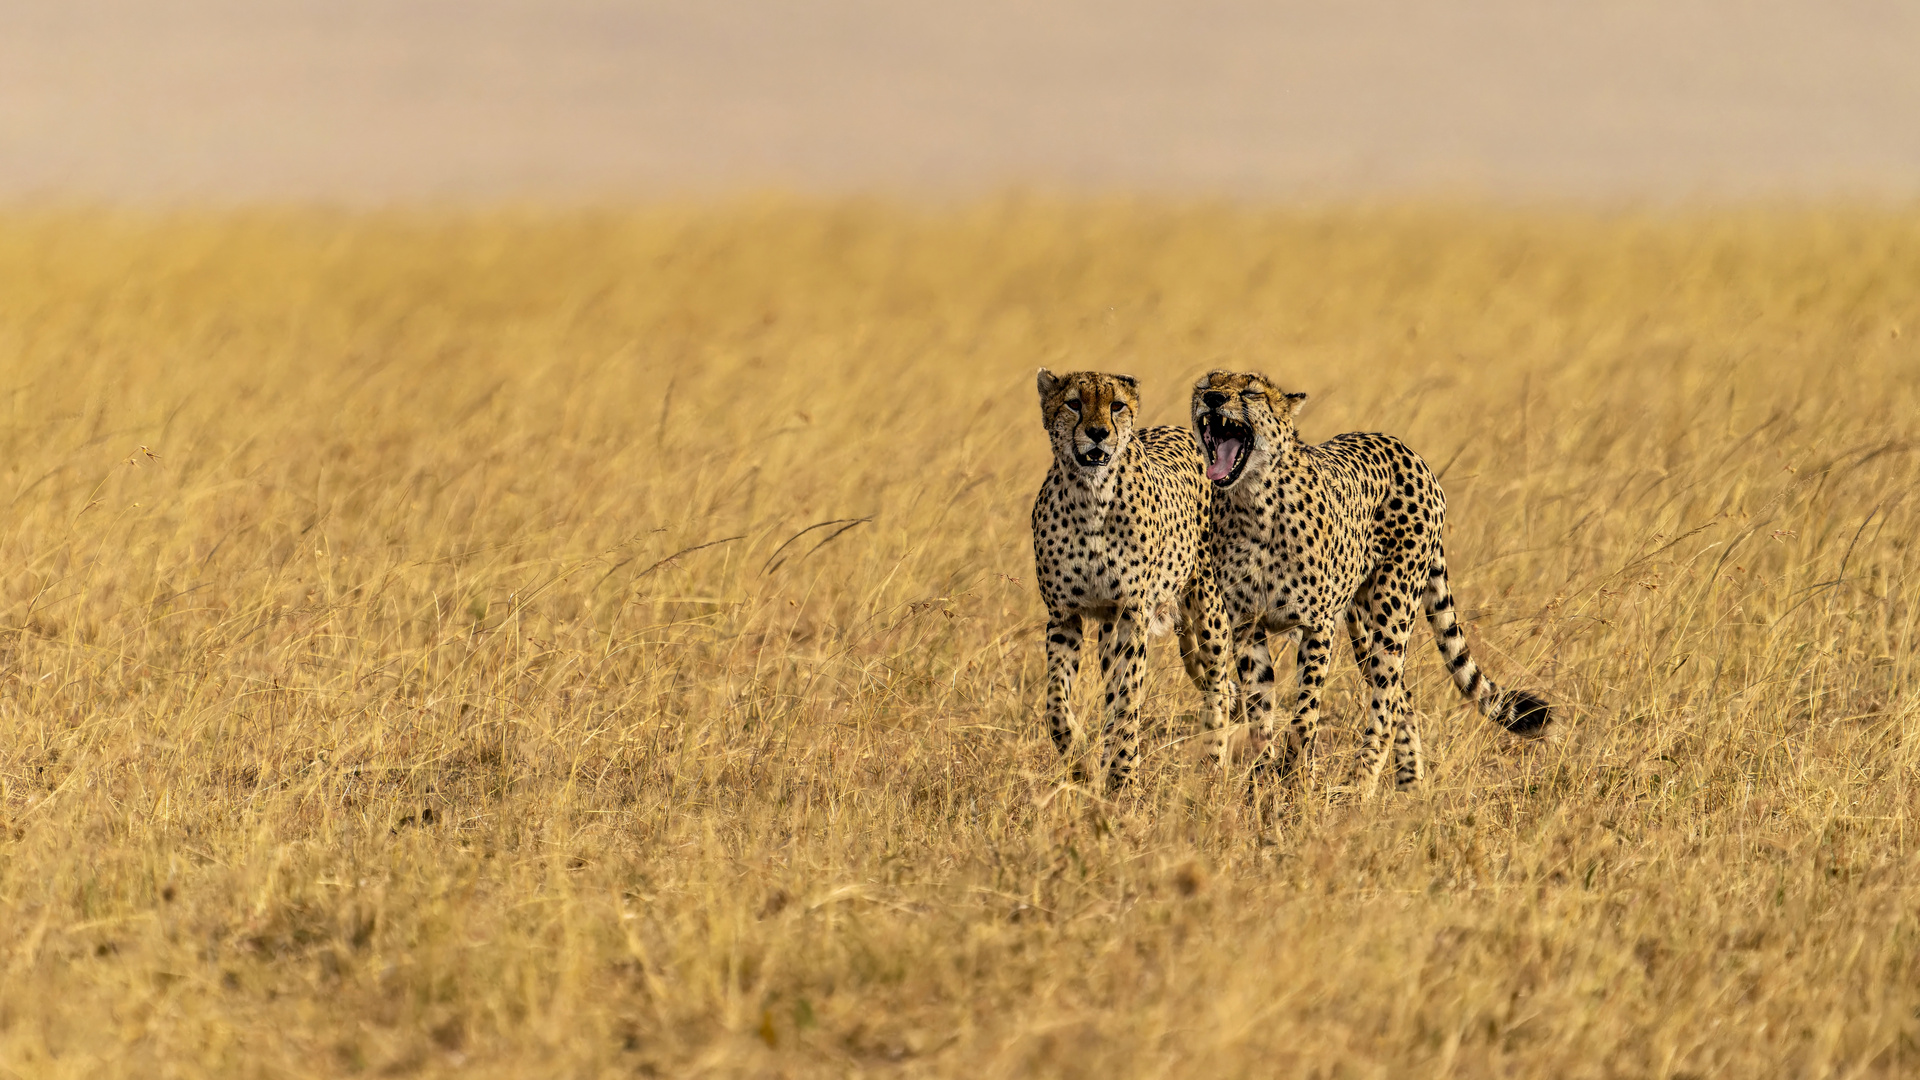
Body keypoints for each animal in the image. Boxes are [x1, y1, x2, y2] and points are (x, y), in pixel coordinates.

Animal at [1036, 365, 1228, 787]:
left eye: (1117, 406)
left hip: (1209, 607)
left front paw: (1123, 776)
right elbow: (1055, 701)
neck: (1090, 496)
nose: (1097, 433)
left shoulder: (1129, 614)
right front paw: (1078, 759)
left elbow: (1126, 700)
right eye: (1073, 403)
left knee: (1220, 684)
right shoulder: (1064, 616)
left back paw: (1214, 764)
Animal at [1190, 372, 1551, 791]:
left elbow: (1304, 715)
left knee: (1387, 700)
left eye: (1251, 392)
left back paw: (1361, 787)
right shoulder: (1248, 626)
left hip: (1394, 608)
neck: (1252, 502)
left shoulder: (1317, 625)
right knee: (1400, 696)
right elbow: (1259, 711)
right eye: (1205, 385)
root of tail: (1405, 449)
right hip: (1361, 623)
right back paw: (1409, 785)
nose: (1213, 399)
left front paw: (1296, 781)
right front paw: (1262, 781)